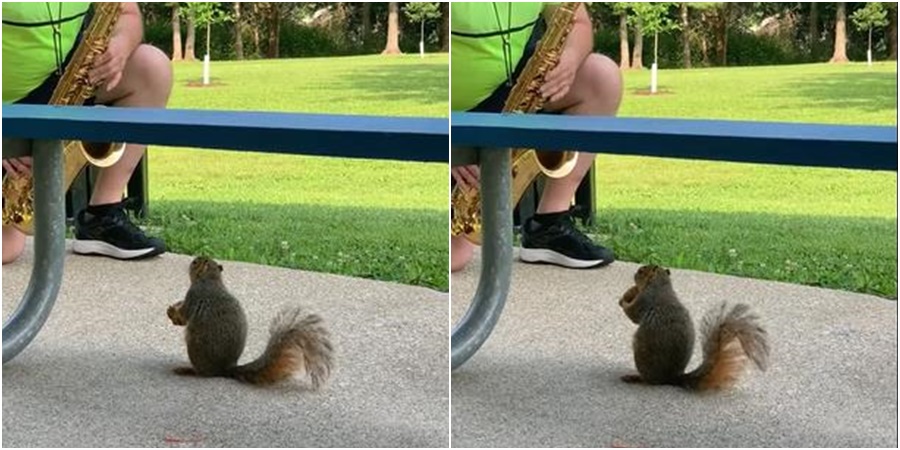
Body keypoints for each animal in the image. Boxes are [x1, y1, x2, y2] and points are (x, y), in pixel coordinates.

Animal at [166, 256, 334, 386]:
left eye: (195, 262)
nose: (191, 261)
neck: (211, 278)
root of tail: (225, 369)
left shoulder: (194, 295)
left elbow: (184, 316)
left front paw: (172, 312)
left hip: (195, 348)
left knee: (204, 373)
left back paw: (188, 370)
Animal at [620, 264, 768, 390]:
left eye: (642, 271)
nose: (635, 273)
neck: (661, 284)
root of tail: (671, 378)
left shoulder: (645, 299)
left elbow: (632, 313)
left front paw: (624, 299)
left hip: (642, 355)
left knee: (651, 381)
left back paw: (635, 378)